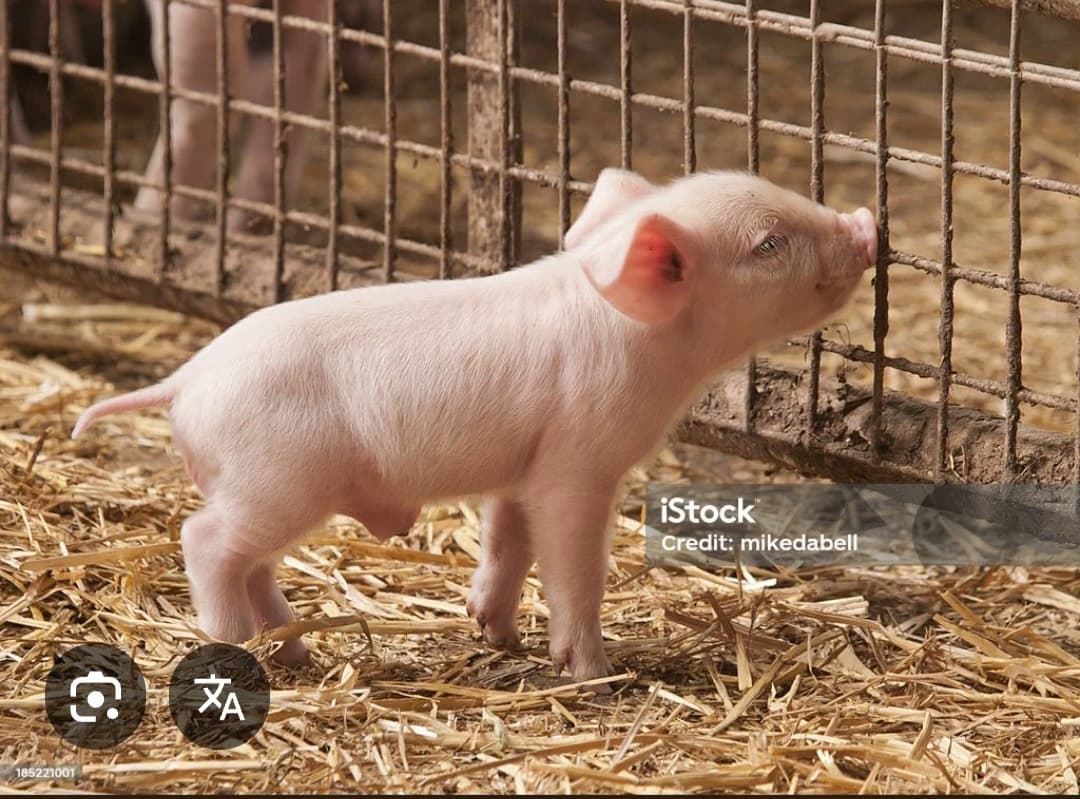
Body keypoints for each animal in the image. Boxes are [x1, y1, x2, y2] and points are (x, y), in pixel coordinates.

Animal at [73, 169, 877, 684]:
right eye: (768, 242)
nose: (866, 223)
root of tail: (185, 381)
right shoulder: (578, 458)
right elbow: (572, 561)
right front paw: (593, 672)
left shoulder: (523, 461)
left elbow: (507, 540)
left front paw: (496, 632)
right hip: (273, 479)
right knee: (204, 541)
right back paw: (238, 648)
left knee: (255, 563)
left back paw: (295, 654)